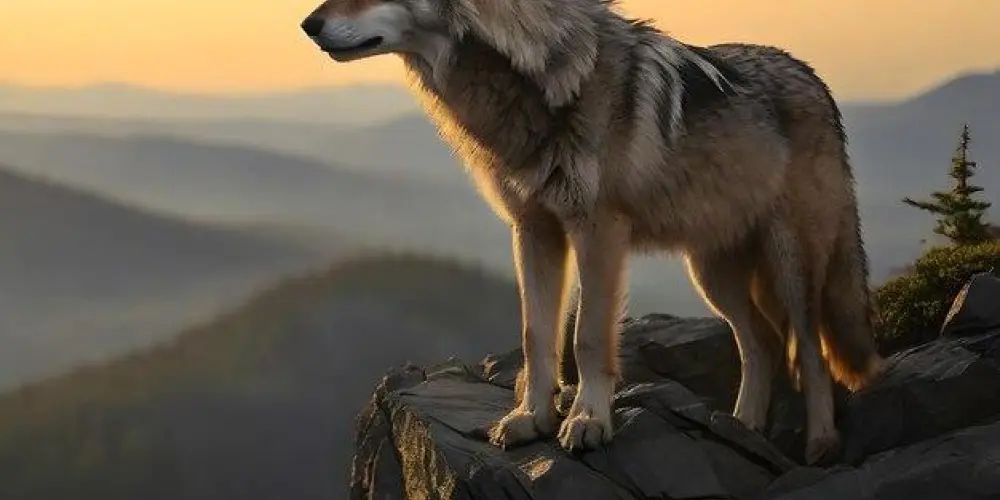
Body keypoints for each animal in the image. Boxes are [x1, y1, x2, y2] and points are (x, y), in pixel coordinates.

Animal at [300, 0, 885, 464]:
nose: (308, 24)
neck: (531, 79)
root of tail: (816, 80)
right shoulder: (533, 230)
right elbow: (537, 335)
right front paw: (530, 417)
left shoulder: (597, 230)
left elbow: (586, 338)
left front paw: (587, 421)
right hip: (711, 274)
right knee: (761, 341)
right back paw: (742, 428)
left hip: (791, 263)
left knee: (810, 349)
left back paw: (821, 443)